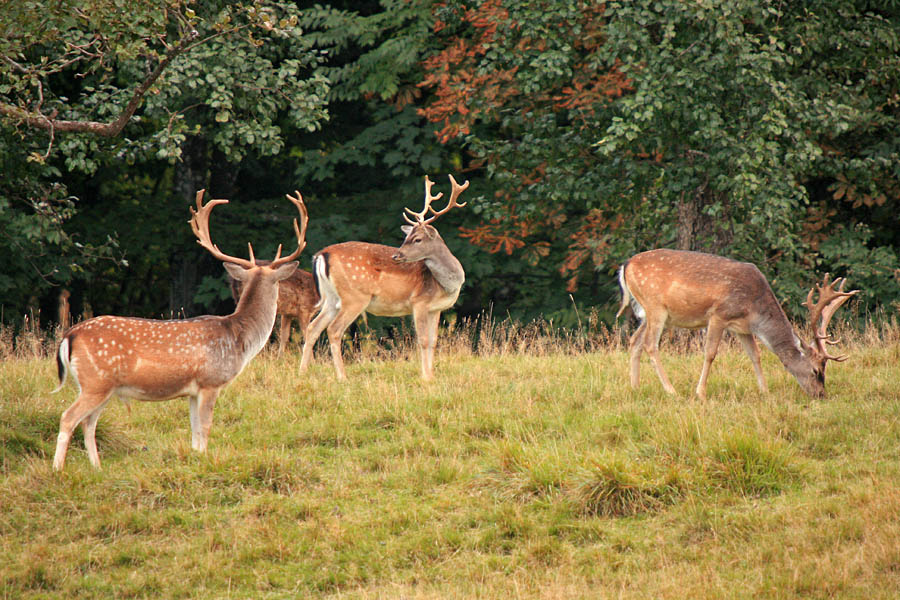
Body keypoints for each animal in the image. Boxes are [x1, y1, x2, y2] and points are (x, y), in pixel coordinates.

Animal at [51, 190, 310, 472]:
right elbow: (205, 428)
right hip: (95, 382)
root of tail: (69, 336)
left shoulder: (192, 392)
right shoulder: (211, 381)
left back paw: (97, 468)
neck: (238, 339)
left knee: (88, 423)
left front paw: (196, 460)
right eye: (278, 283)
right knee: (68, 417)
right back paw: (58, 469)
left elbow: (194, 431)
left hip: (102, 387)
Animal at [300, 173, 472, 380]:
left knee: (313, 327)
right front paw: (425, 377)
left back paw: (302, 372)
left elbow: (433, 341)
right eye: (407, 238)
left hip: (332, 299)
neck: (446, 284)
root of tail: (321, 255)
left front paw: (431, 375)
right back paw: (342, 377)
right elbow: (422, 340)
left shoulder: (435, 309)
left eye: (417, 239)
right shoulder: (419, 302)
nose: (396, 255)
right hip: (354, 296)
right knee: (334, 330)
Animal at [620, 248, 856, 398]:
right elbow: (710, 353)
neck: (755, 307)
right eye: (816, 371)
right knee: (650, 344)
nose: (821, 394)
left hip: (650, 313)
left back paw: (635, 387)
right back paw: (671, 390)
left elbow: (755, 355)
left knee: (634, 341)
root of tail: (626, 265)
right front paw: (700, 393)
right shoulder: (719, 314)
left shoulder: (742, 327)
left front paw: (764, 391)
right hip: (655, 306)